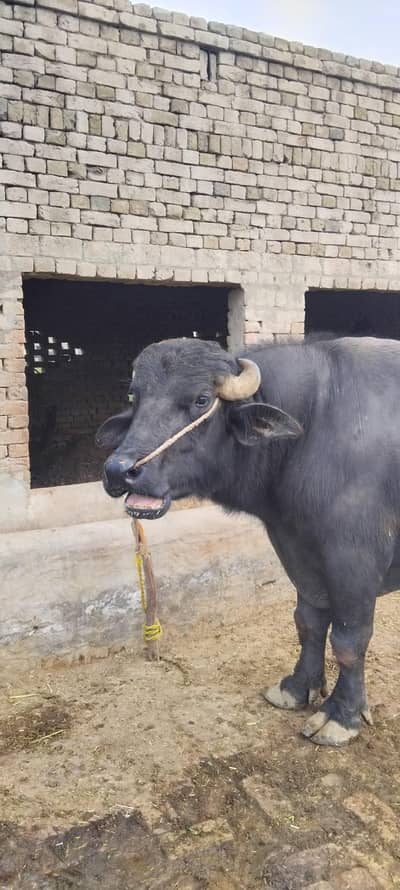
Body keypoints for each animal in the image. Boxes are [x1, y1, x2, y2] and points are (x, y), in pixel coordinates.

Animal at [96, 335, 400, 747]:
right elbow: (308, 622)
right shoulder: (297, 548)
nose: (119, 470)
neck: (311, 427)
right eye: (135, 397)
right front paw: (296, 687)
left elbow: (349, 641)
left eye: (201, 399)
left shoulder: (355, 559)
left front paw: (342, 715)